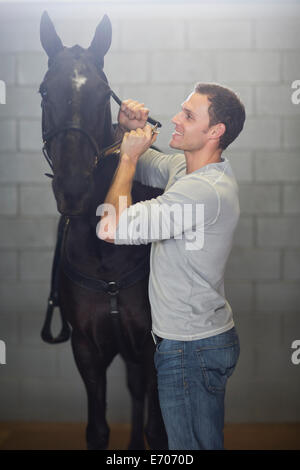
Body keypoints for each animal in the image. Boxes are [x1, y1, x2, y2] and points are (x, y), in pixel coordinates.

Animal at [38, 11, 168, 450]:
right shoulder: (86, 349)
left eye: (102, 92)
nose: (73, 188)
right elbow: (97, 430)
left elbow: (158, 429)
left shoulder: (153, 346)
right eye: (45, 91)